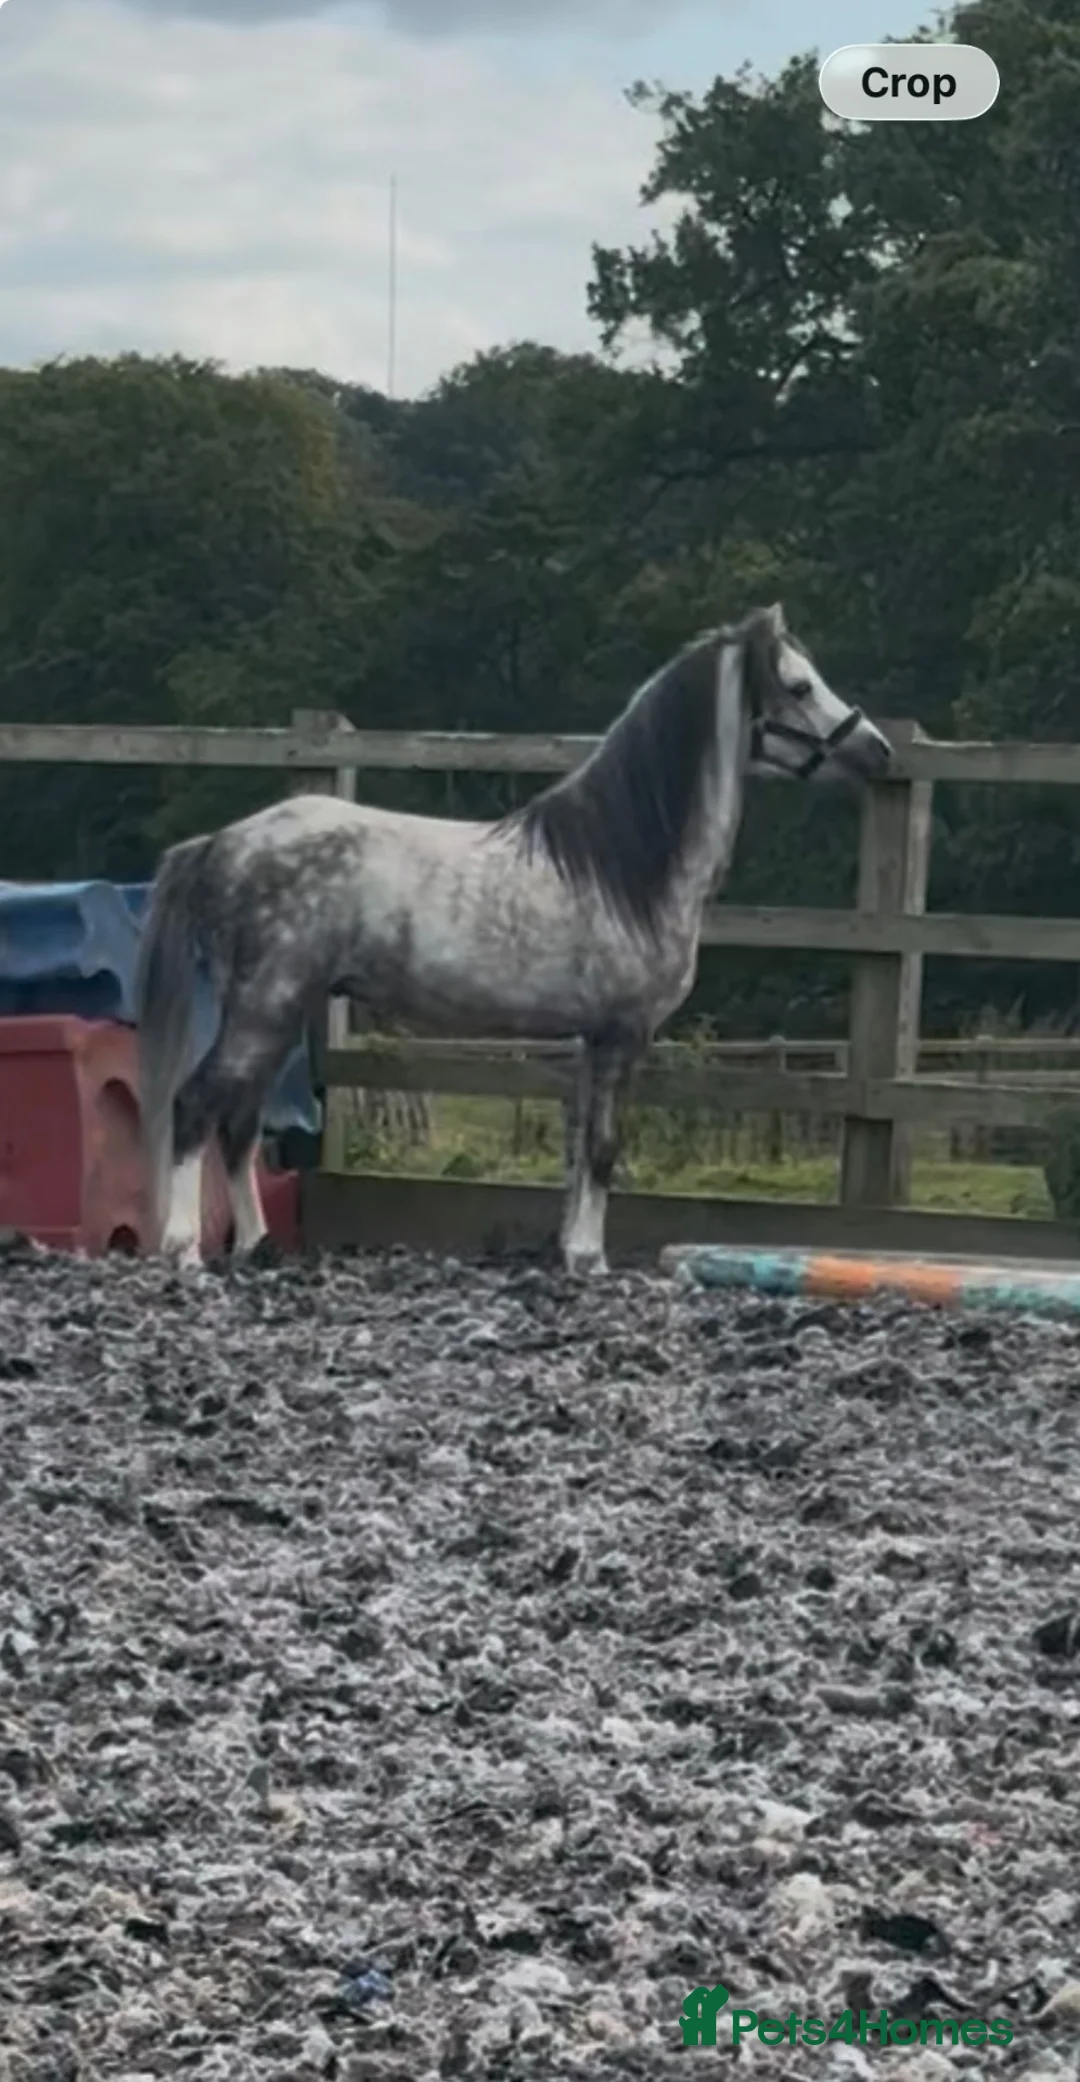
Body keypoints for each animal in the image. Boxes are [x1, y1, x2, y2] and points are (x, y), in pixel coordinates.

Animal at [134, 601, 893, 1272]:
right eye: (800, 685)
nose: (877, 750)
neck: (621, 867)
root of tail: (223, 843)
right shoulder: (621, 1035)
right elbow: (604, 1148)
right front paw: (590, 1259)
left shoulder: (590, 1041)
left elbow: (580, 1147)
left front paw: (572, 1250)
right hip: (264, 1008)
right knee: (196, 1108)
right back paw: (185, 1251)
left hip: (275, 1012)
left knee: (238, 1124)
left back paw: (254, 1247)